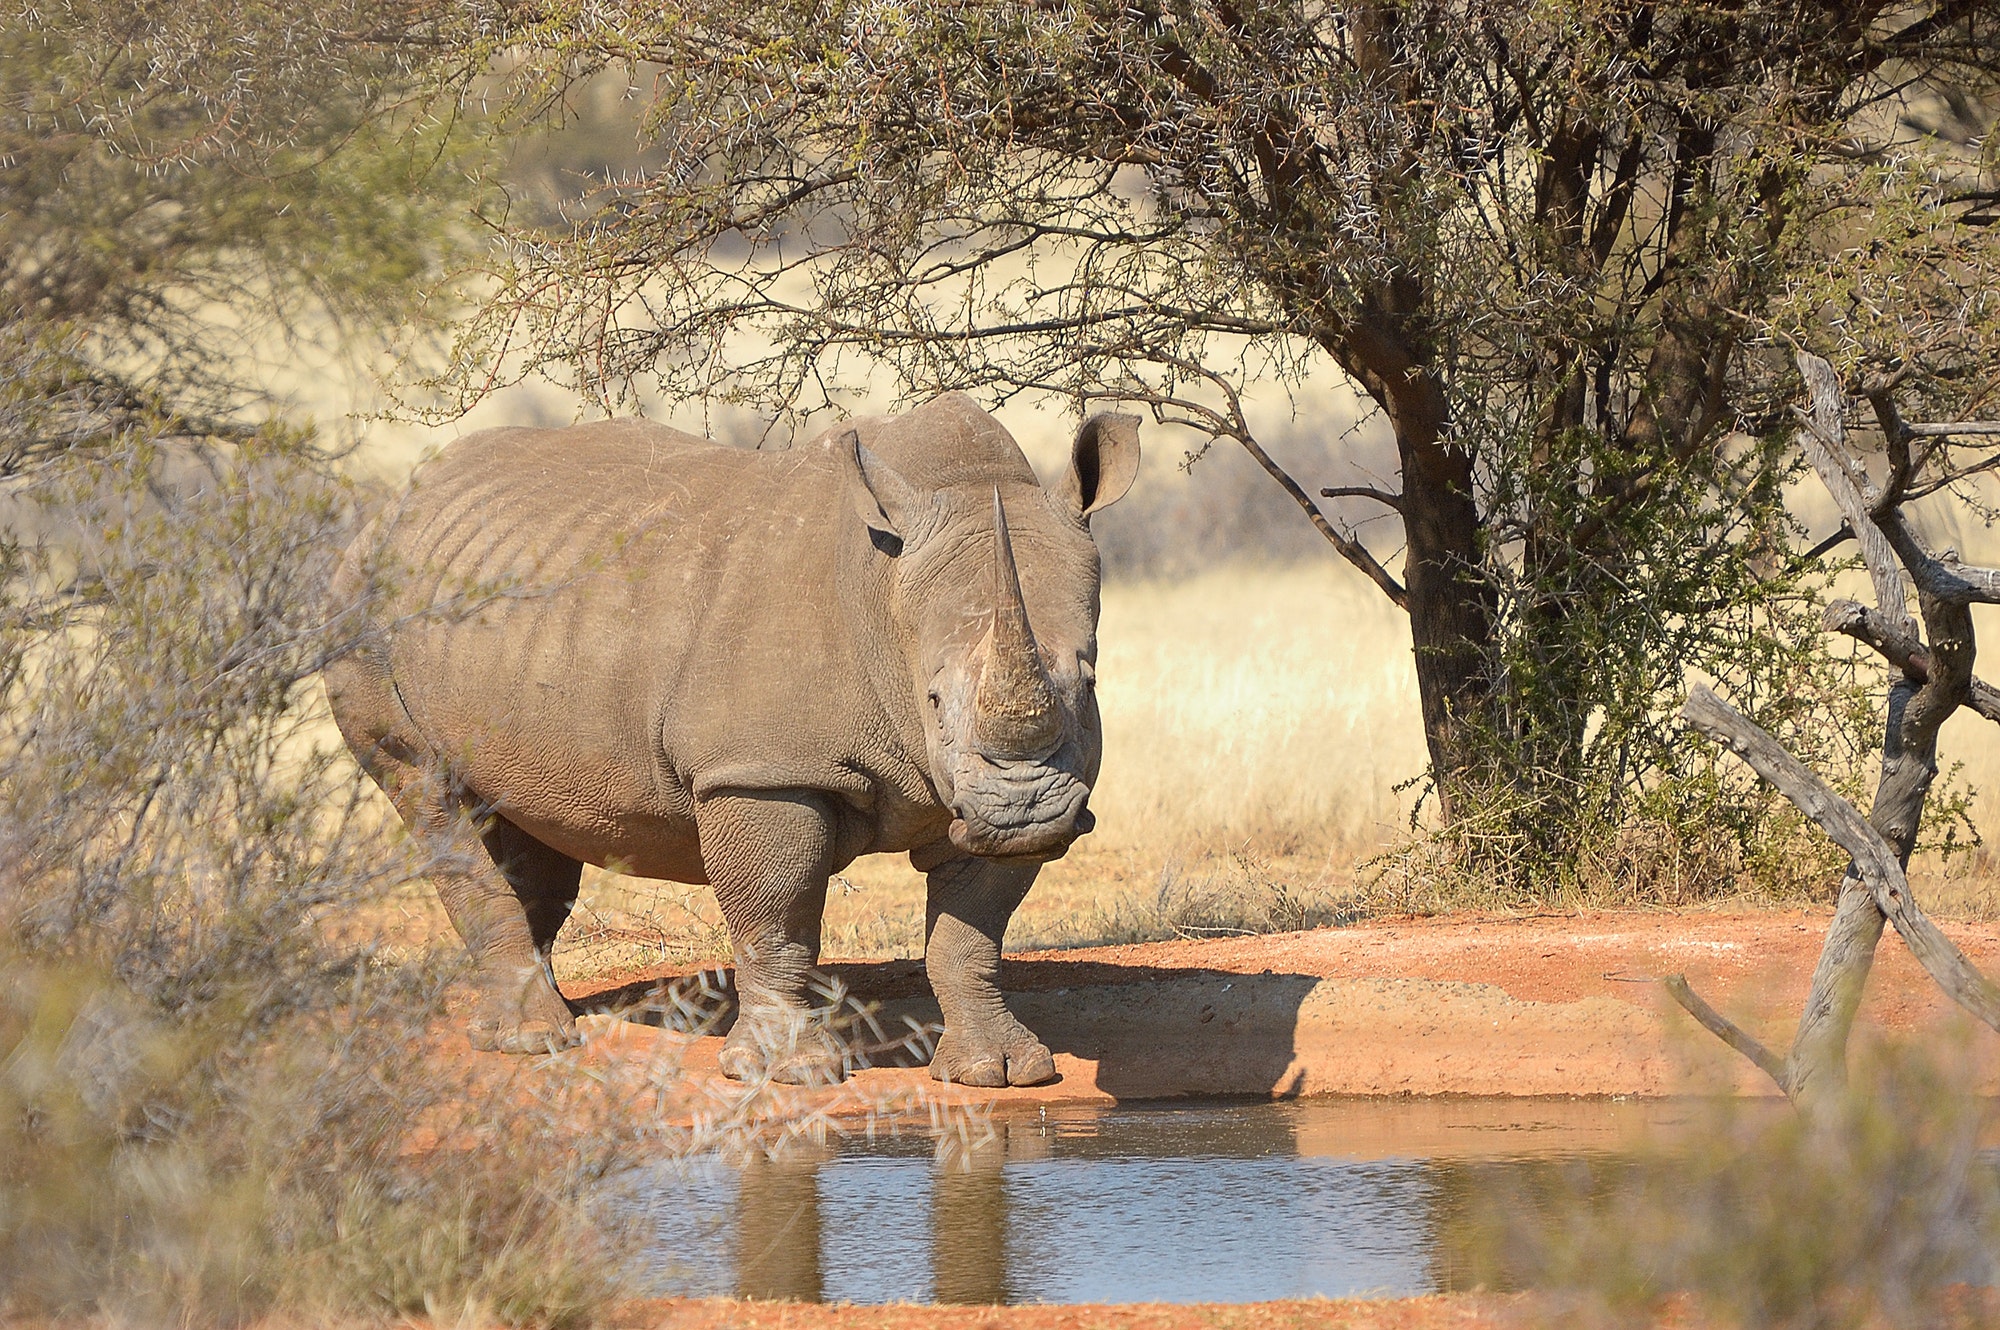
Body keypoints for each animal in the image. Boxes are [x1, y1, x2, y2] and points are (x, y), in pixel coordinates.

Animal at [328, 394, 1144, 1080]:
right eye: (935, 698)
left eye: (1090, 685)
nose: (1024, 815)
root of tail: (387, 511)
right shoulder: (760, 769)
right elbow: (777, 917)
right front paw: (786, 1073)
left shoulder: (973, 795)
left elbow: (971, 932)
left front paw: (1002, 1072)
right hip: (359, 614)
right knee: (429, 792)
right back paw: (535, 1042)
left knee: (524, 823)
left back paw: (537, 1024)